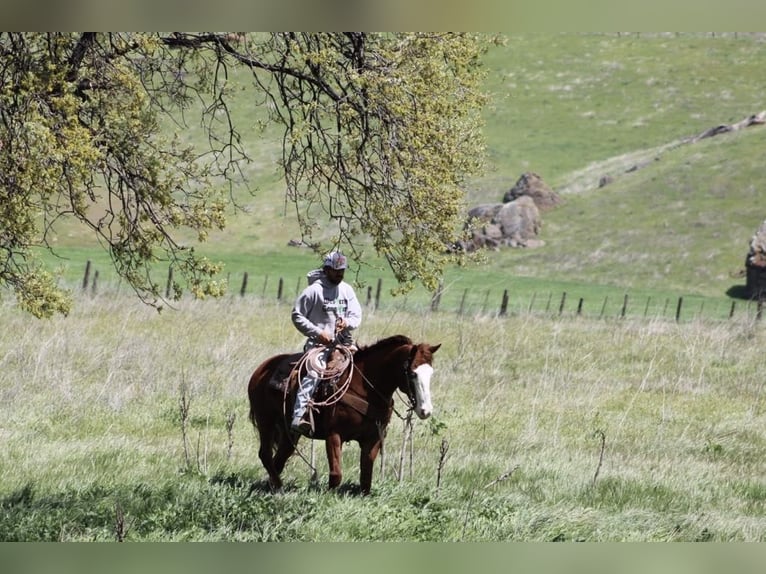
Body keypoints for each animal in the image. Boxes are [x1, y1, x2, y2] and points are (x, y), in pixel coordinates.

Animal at [247, 334, 441, 495]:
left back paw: (271, 486)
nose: (425, 410)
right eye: (412, 373)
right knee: (265, 455)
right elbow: (336, 475)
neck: (364, 387)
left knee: (280, 458)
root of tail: (261, 369)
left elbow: (366, 477)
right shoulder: (334, 434)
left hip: (289, 432)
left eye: (431, 373)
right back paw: (278, 487)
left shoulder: (373, 438)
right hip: (266, 422)